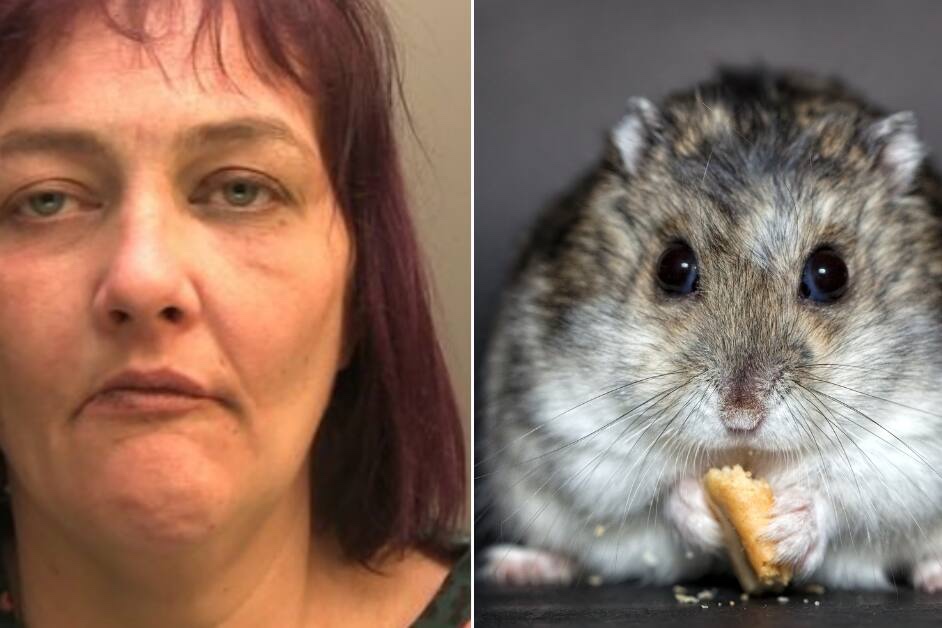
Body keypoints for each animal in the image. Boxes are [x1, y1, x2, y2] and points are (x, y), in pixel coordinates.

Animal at [478, 68, 942, 592]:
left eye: (830, 274)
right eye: (673, 267)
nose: (741, 418)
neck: (749, 455)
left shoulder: (914, 445)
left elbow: (846, 495)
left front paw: (787, 527)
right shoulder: (574, 424)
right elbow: (654, 492)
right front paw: (699, 507)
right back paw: (520, 565)